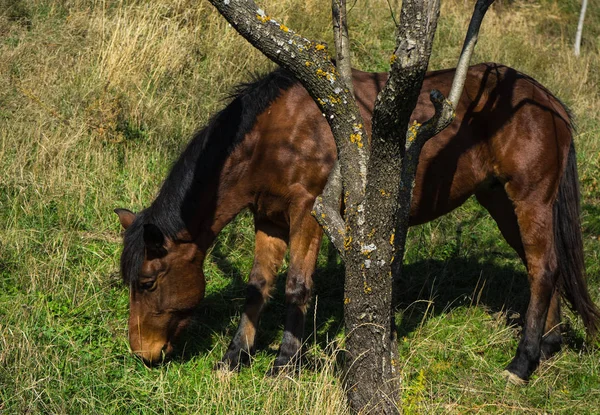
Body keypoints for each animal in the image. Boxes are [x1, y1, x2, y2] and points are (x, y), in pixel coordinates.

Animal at [115, 61, 596, 384]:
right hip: (499, 200)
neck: (277, 131)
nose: (142, 352)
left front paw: (284, 363)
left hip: (530, 198)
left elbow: (296, 286)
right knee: (543, 266)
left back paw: (522, 360)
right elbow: (257, 287)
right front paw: (234, 359)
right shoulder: (268, 219)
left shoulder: (307, 211)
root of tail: (547, 101)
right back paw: (549, 343)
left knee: (542, 268)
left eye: (148, 283)